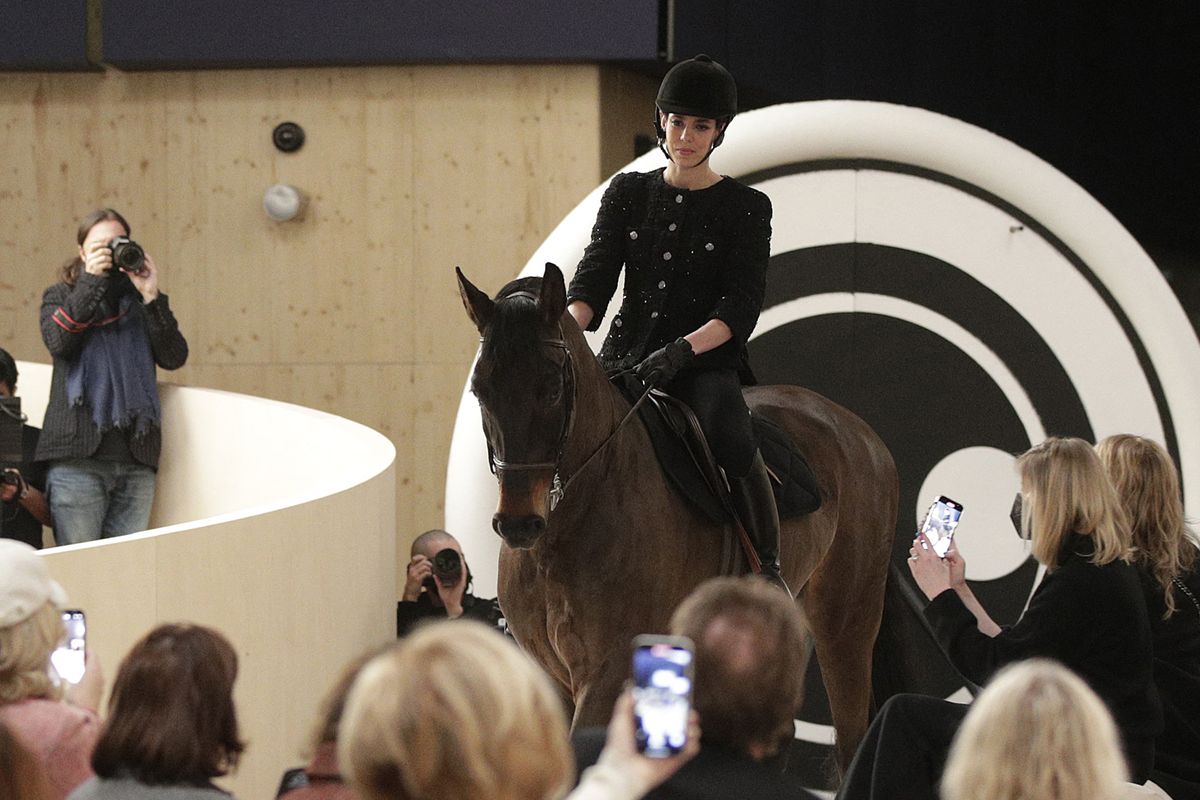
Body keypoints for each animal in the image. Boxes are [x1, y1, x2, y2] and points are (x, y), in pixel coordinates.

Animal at [458, 263, 902, 767]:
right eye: (480, 390)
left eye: (552, 387)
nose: (518, 524)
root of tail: (861, 433)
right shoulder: (548, 677)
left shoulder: (607, 673)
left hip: (845, 625)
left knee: (850, 739)